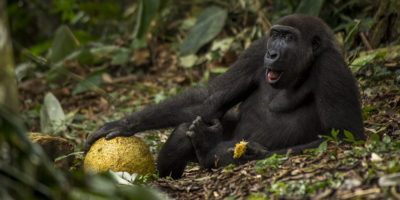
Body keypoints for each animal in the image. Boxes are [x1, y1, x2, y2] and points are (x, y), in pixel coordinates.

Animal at [84, 14, 366, 178]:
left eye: (289, 37)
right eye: (275, 35)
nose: (272, 53)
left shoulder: (331, 67)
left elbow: (344, 136)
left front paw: (245, 152)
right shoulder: (256, 50)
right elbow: (210, 98)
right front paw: (124, 124)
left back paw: (209, 150)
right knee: (187, 126)